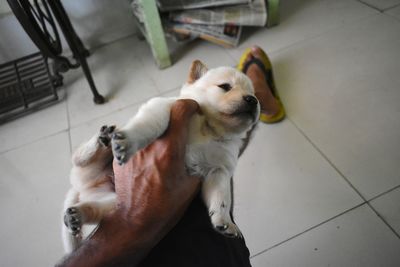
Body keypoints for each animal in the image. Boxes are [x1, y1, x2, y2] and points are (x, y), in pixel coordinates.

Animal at [60, 60, 258, 253]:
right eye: (225, 86)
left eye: (253, 94)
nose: (253, 100)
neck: (210, 130)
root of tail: (81, 187)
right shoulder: (162, 107)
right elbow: (149, 125)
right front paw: (128, 141)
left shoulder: (219, 171)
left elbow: (222, 197)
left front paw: (225, 221)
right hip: (88, 168)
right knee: (78, 158)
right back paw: (102, 140)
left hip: (115, 202)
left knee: (99, 210)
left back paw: (77, 215)